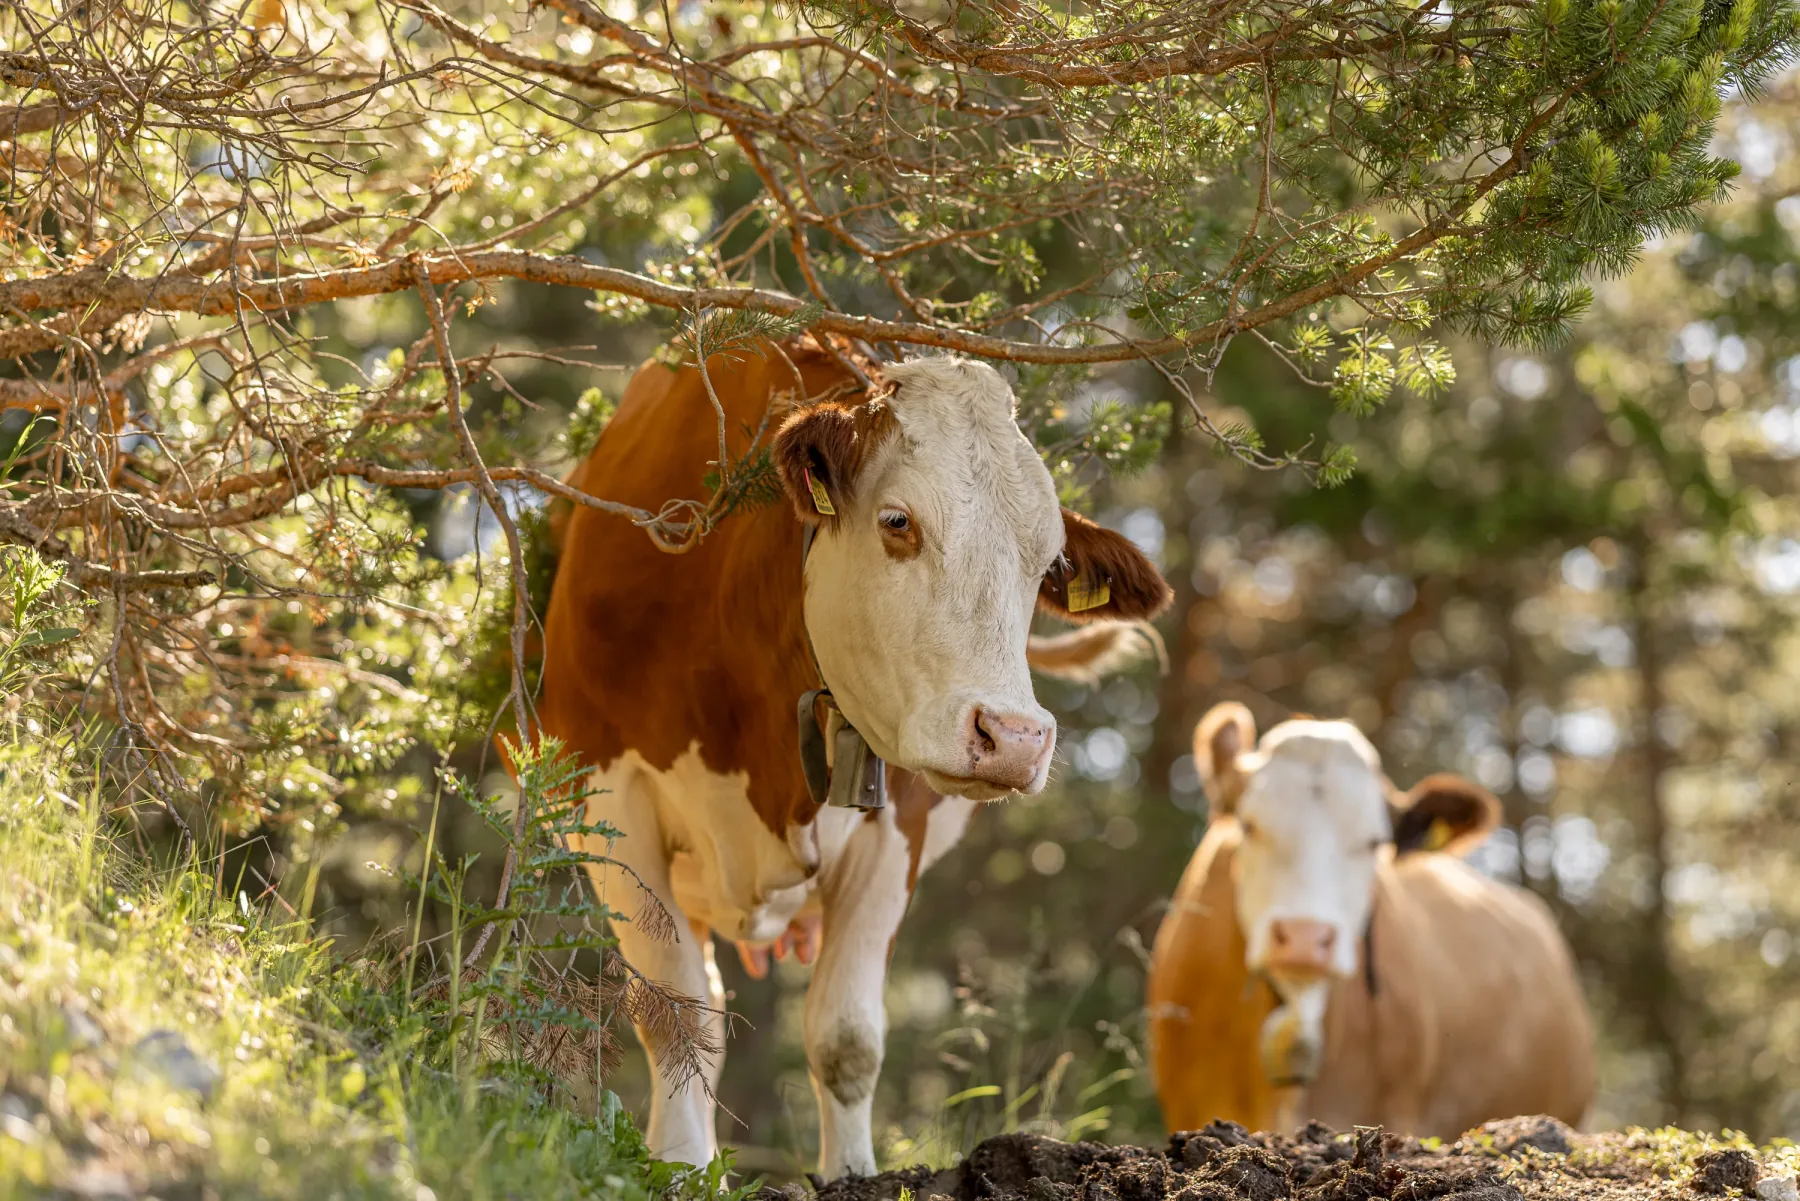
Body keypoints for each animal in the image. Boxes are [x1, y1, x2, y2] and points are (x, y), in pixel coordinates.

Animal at [534, 341, 1173, 1178]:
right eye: (898, 520)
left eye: (1048, 564)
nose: (1013, 736)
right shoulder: (610, 796)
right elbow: (675, 1012)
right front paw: (680, 1166)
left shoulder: (895, 827)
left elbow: (846, 1036)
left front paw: (852, 1175)